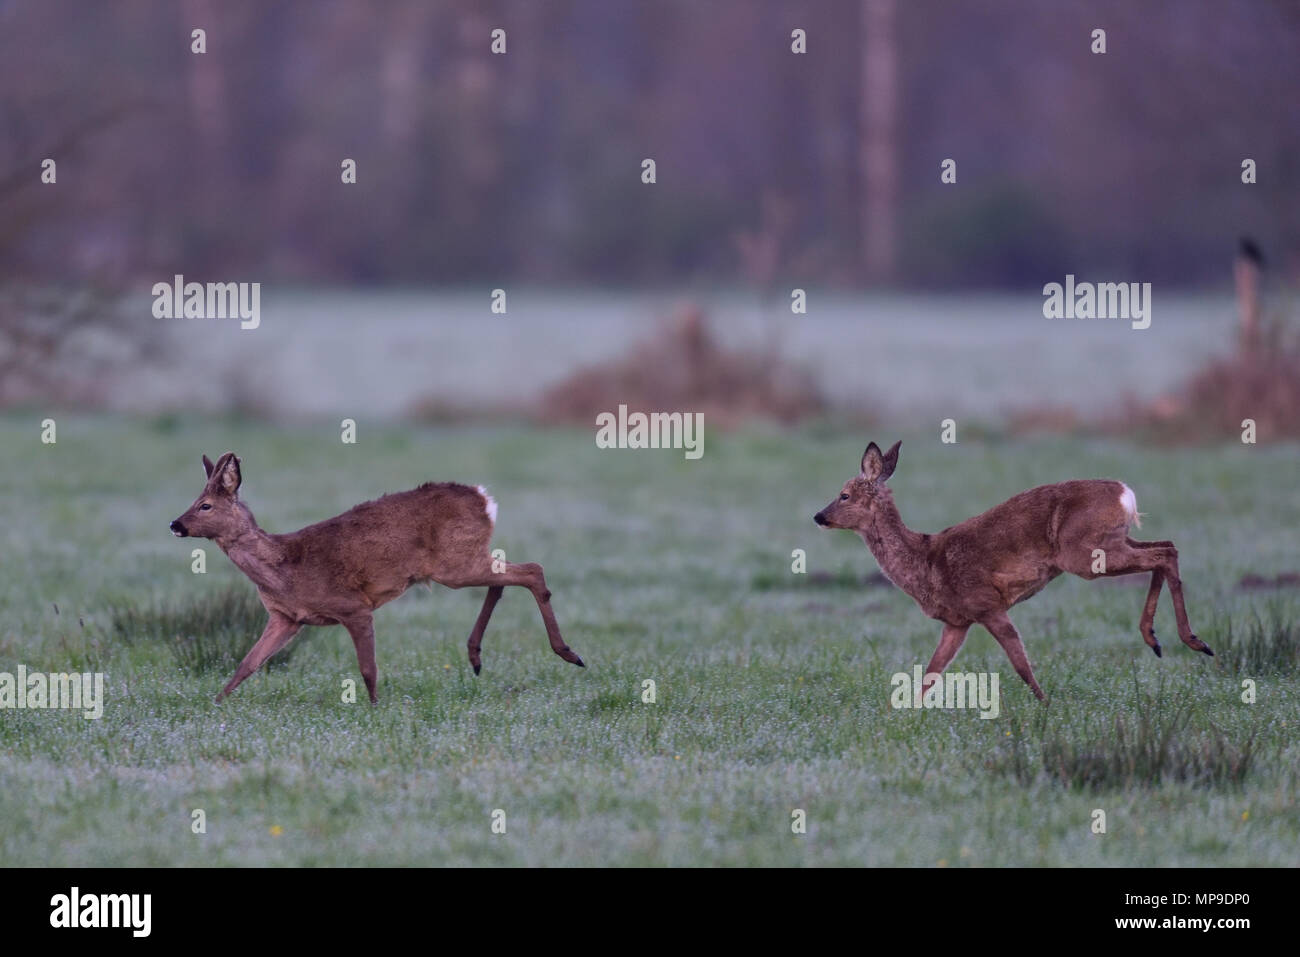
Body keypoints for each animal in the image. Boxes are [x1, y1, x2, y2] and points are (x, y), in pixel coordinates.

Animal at [170, 447, 587, 702]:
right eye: (195, 501)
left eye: (205, 505)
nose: (175, 524)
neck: (283, 566)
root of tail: (485, 499)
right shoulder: (286, 618)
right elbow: (247, 663)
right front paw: (216, 702)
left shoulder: (353, 606)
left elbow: (368, 668)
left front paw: (374, 707)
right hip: (464, 560)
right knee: (504, 580)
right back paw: (476, 657)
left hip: (454, 564)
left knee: (532, 570)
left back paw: (569, 654)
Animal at [816, 442, 1211, 702]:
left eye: (845, 494)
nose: (819, 516)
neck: (926, 561)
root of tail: (1124, 492)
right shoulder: (958, 621)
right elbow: (931, 671)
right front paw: (904, 712)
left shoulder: (987, 603)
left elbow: (1019, 661)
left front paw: (1045, 704)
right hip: (1113, 542)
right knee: (1167, 546)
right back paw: (1158, 639)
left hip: (1084, 555)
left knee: (1163, 553)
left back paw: (1192, 641)